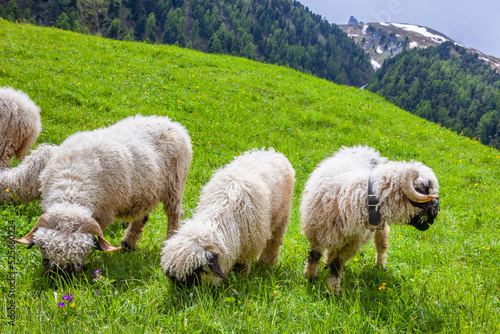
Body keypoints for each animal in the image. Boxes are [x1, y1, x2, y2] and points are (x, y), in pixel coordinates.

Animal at [160, 149, 294, 288]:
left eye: (195, 271)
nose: (182, 291)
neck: (221, 215)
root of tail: (271, 152)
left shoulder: (249, 246)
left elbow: (243, 265)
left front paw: (242, 279)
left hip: (282, 215)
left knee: (274, 242)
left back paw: (266, 264)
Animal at [300, 145, 438, 292]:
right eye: (425, 190)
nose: (435, 214)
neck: (356, 195)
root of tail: (366, 149)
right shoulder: (316, 232)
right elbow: (314, 255)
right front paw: (310, 278)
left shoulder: (352, 241)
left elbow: (336, 265)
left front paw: (332, 290)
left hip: (378, 227)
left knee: (381, 245)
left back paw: (380, 266)